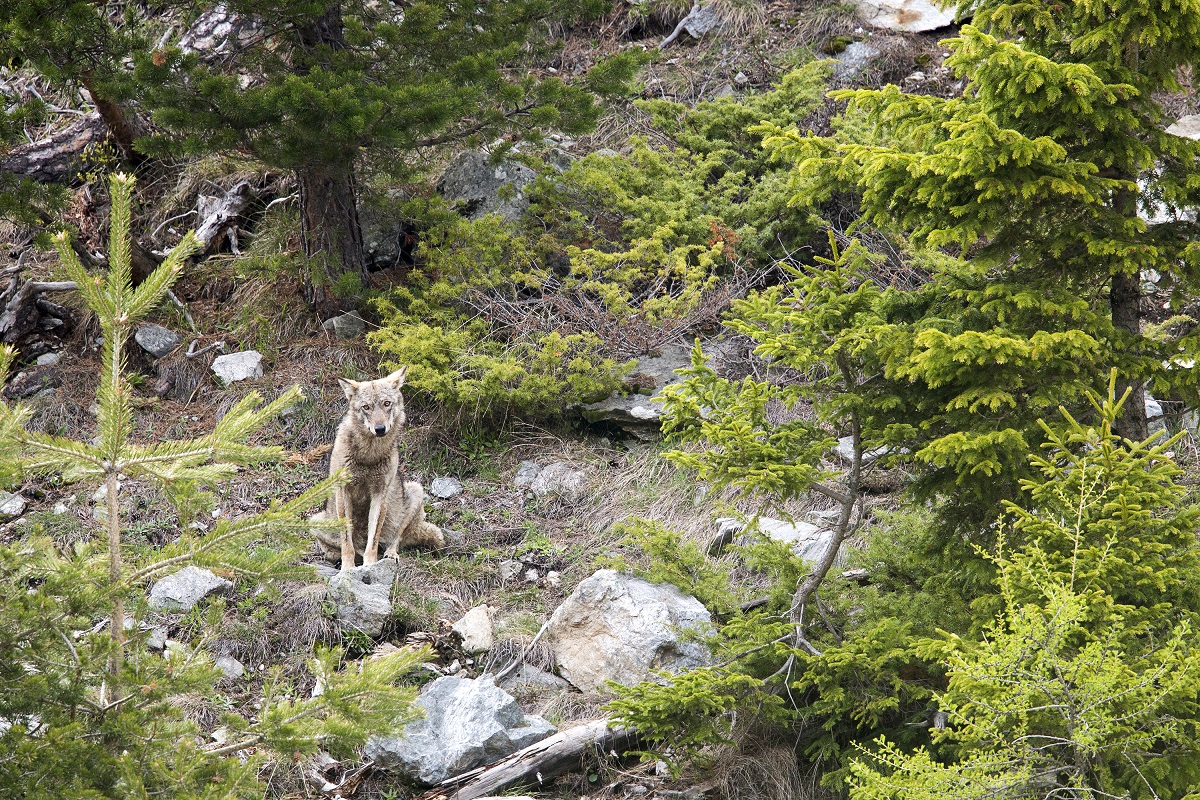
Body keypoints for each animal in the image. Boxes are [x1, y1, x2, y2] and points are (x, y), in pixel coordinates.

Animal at [314, 369, 446, 568]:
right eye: (366, 407)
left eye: (386, 404)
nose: (380, 429)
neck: (369, 455)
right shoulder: (344, 491)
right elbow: (347, 541)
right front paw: (347, 568)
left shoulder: (380, 493)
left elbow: (373, 538)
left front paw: (370, 566)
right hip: (315, 521)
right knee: (349, 547)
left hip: (415, 490)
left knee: (395, 540)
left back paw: (390, 555)